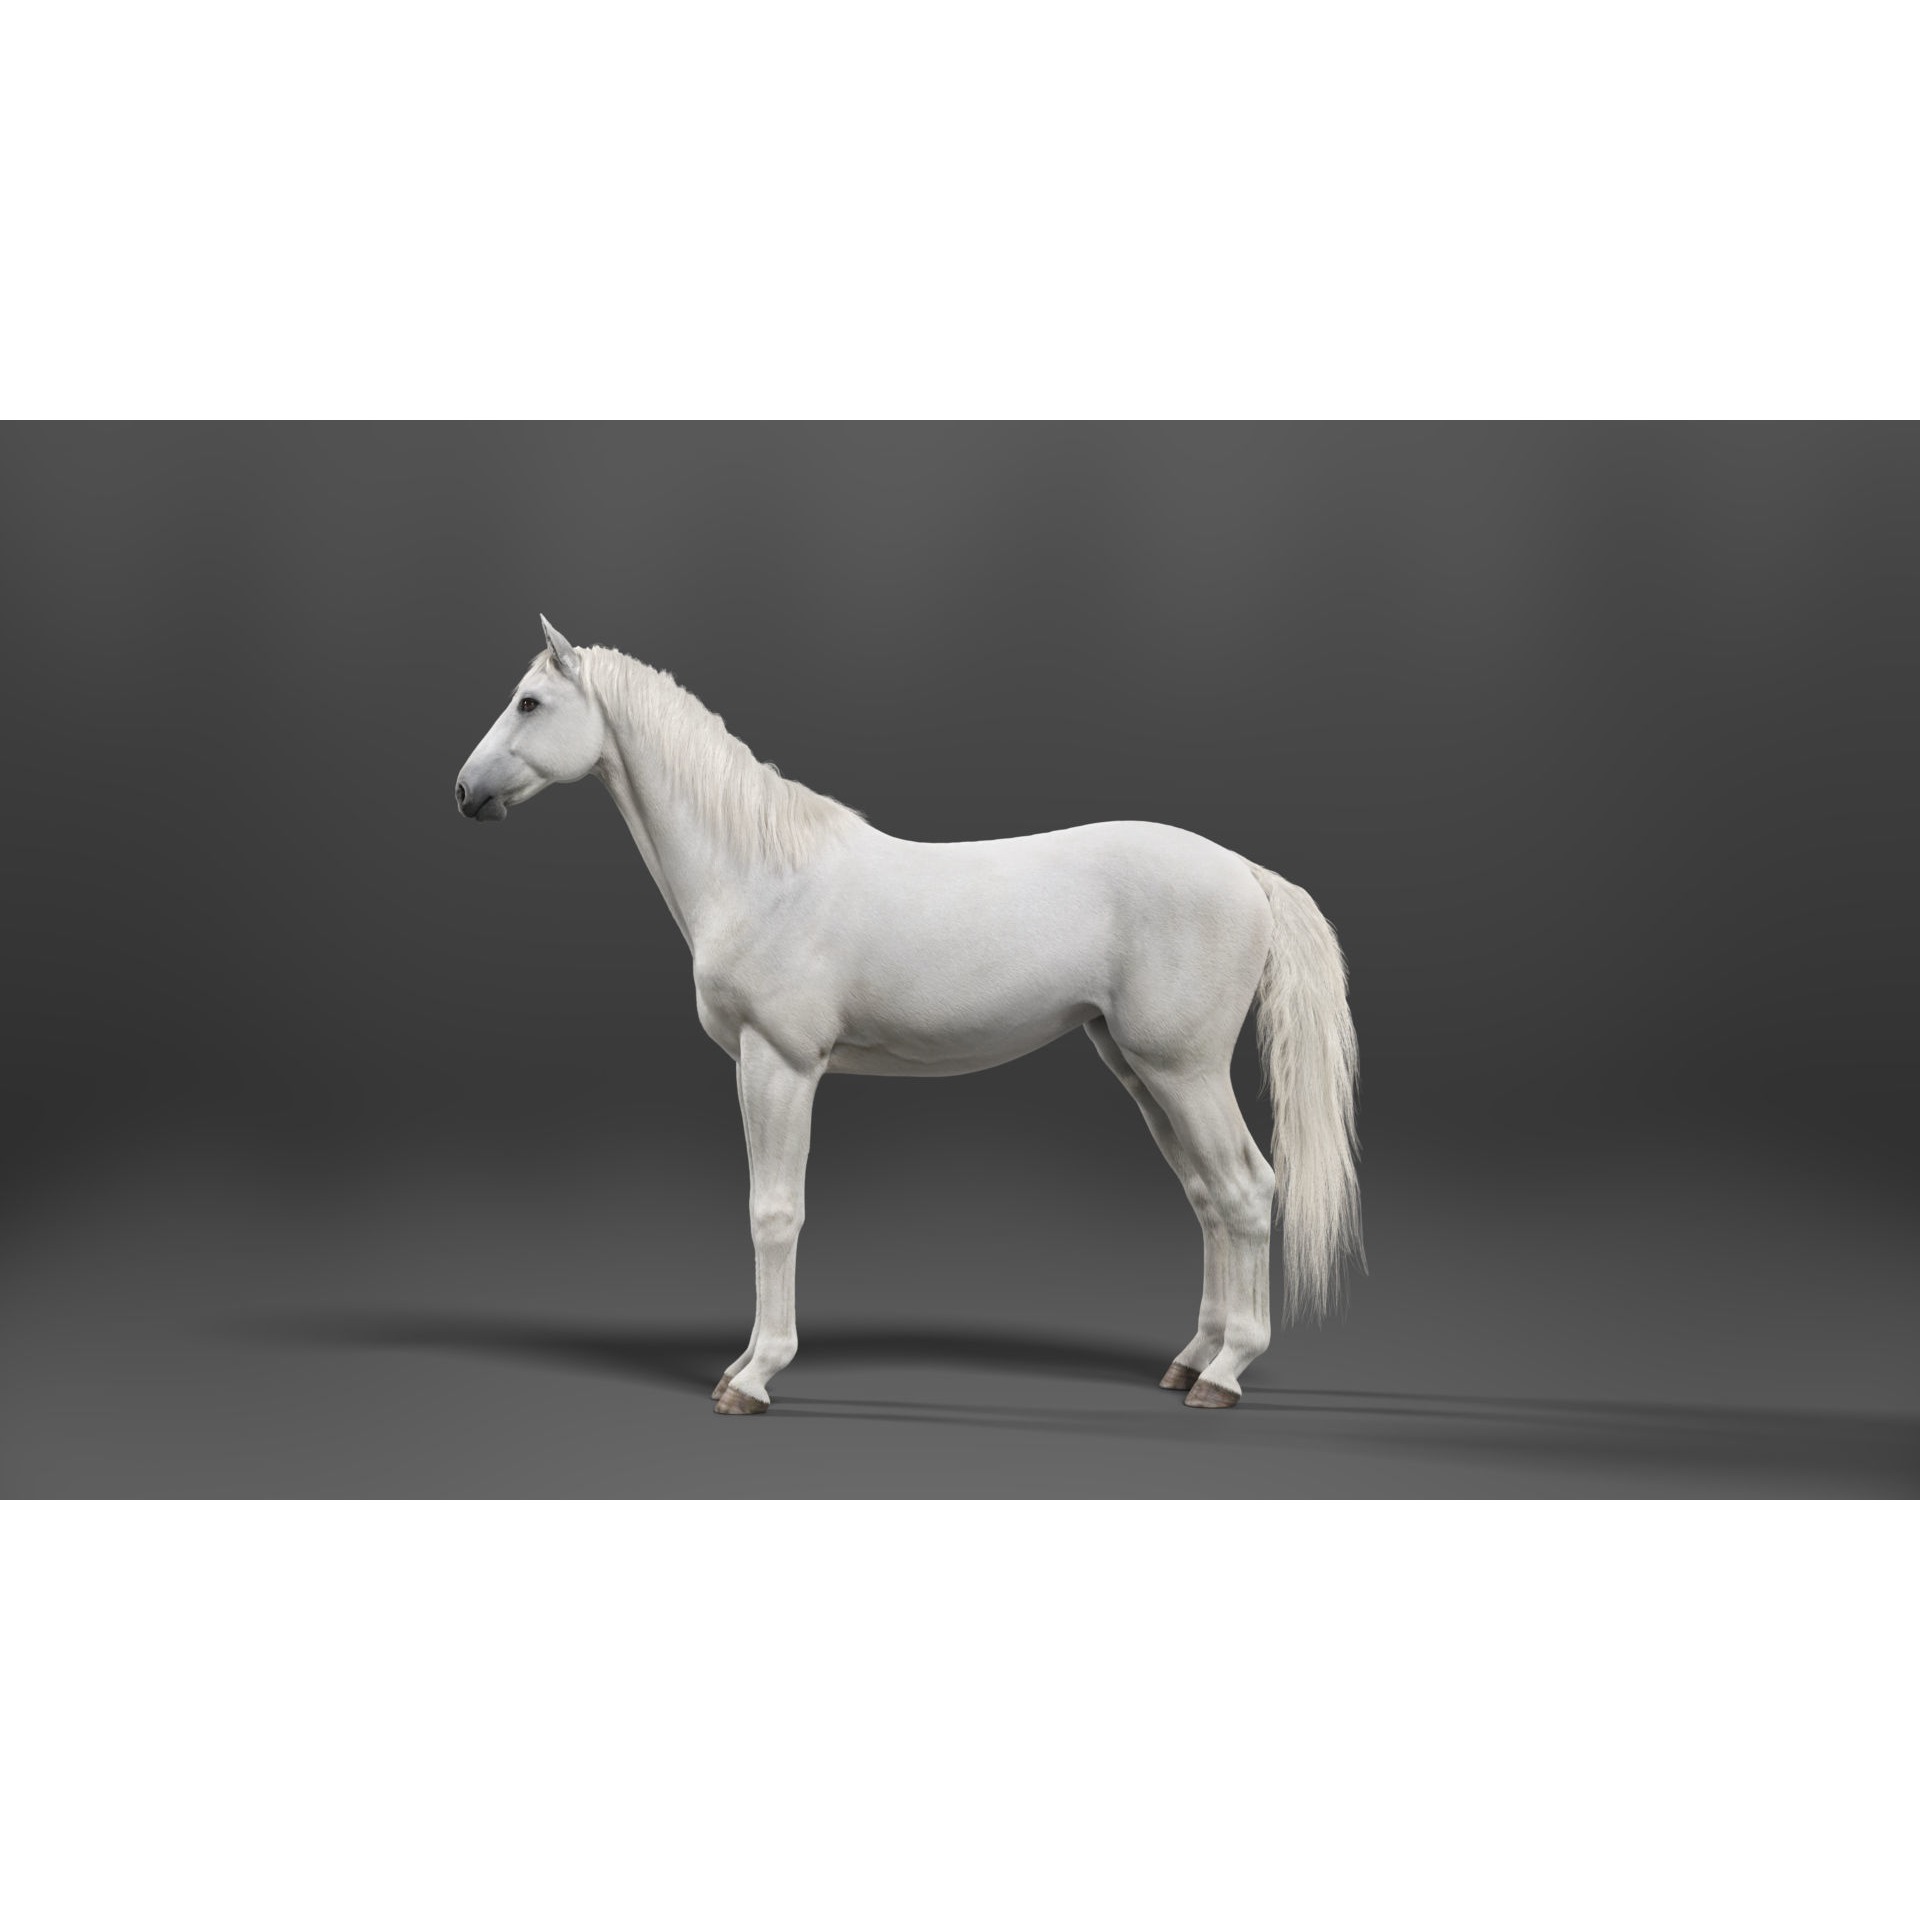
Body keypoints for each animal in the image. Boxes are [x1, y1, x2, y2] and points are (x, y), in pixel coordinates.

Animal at [454, 617, 1363, 1414]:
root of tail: (1242, 870)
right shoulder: (758, 1067)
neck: (762, 876)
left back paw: (1226, 1373)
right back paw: (1191, 1360)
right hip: (1140, 1071)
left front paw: (755, 1377)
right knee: (1208, 1199)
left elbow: (773, 1213)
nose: (464, 792)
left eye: (529, 702)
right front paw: (741, 1364)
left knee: (1245, 1191)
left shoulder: (779, 1064)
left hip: (1186, 1070)